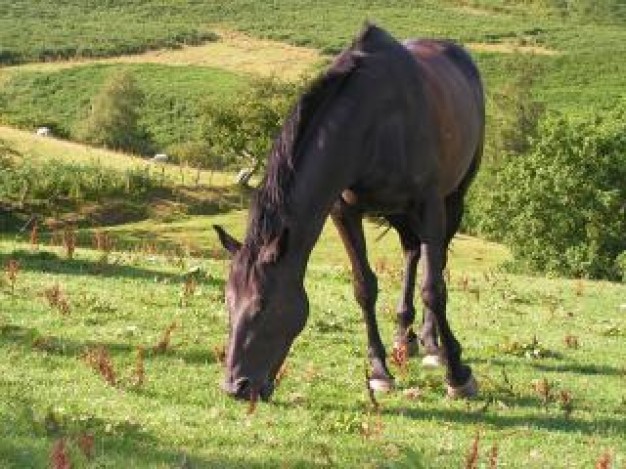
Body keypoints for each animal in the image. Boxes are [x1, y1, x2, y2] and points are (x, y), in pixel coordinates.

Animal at [213, 23, 482, 400]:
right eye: (228, 300)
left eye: (263, 304)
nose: (237, 386)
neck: (377, 123)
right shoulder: (344, 211)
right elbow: (364, 287)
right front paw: (380, 370)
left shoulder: (429, 202)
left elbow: (434, 288)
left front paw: (457, 374)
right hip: (399, 213)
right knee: (412, 252)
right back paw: (406, 336)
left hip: (453, 198)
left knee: (436, 259)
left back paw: (433, 344)